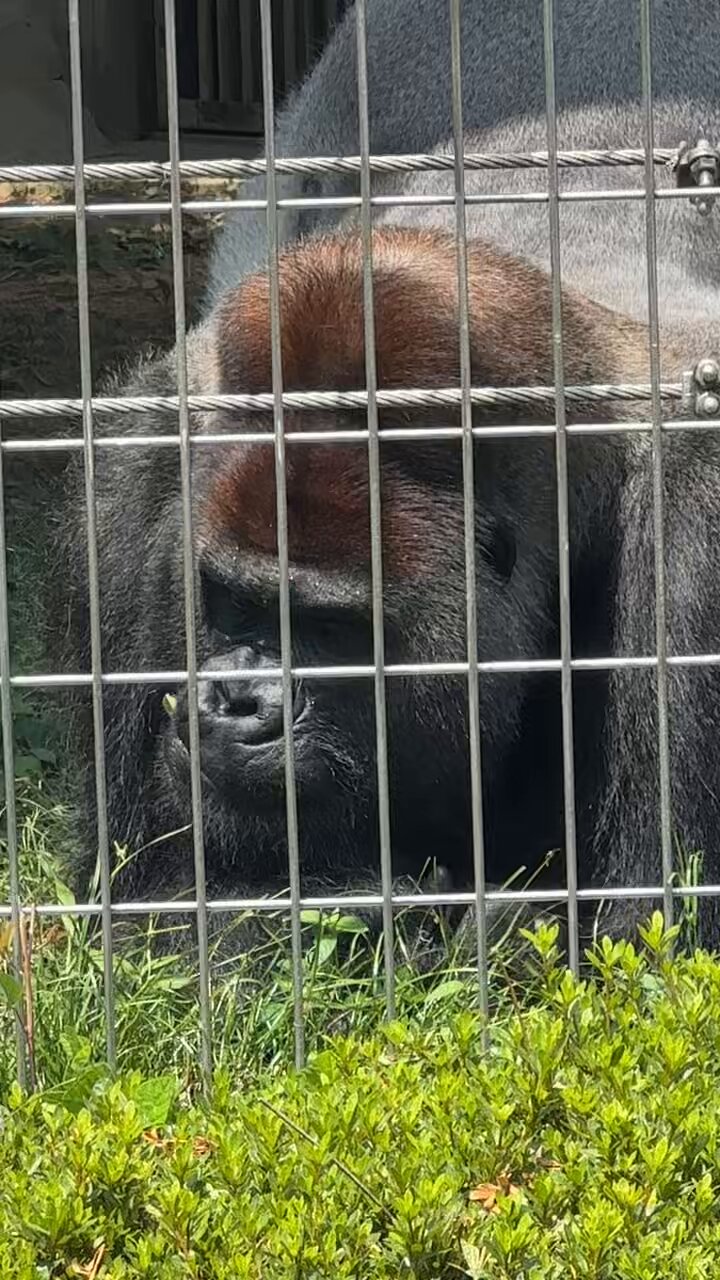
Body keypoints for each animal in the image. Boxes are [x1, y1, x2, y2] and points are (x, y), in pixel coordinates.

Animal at [56, 0, 720, 949]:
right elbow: (157, 902)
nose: (232, 700)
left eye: (334, 630)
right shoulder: (142, 478)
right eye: (230, 600)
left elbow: (647, 934)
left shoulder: (695, 530)